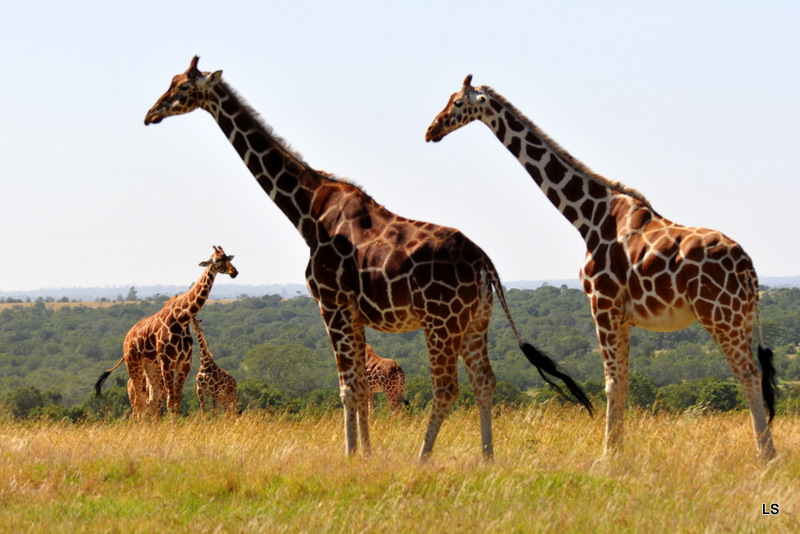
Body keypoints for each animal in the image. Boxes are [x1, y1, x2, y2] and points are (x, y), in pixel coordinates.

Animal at [94, 246, 238, 418]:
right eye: (216, 260)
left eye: (228, 258)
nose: (234, 271)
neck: (181, 319)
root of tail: (126, 338)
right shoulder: (168, 363)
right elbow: (170, 403)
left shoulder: (184, 363)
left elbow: (176, 403)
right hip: (133, 364)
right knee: (139, 403)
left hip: (151, 367)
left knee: (151, 401)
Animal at [145, 57, 592, 460]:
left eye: (182, 88)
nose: (151, 114)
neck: (306, 212)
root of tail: (485, 262)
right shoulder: (355, 314)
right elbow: (360, 387)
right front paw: (367, 454)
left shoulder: (331, 304)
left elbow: (347, 388)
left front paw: (349, 456)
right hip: (475, 320)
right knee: (485, 382)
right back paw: (486, 459)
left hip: (441, 321)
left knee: (447, 389)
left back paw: (423, 459)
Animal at [428, 75, 780, 460]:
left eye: (457, 103)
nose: (432, 130)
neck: (589, 216)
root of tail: (749, 269)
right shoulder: (622, 315)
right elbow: (622, 383)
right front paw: (617, 454)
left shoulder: (602, 304)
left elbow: (611, 384)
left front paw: (605, 457)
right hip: (739, 317)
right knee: (753, 373)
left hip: (720, 314)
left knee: (748, 373)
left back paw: (766, 456)